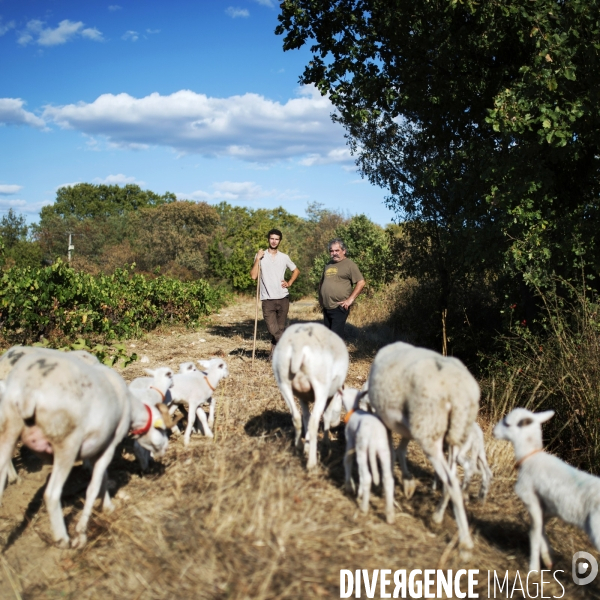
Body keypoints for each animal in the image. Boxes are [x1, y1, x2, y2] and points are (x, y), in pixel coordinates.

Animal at [0, 346, 170, 548]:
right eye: (162, 431)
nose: (163, 452)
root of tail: (29, 389)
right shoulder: (109, 446)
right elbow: (93, 487)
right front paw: (82, 531)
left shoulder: (100, 445)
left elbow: (103, 478)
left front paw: (108, 506)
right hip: (67, 443)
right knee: (51, 494)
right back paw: (63, 539)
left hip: (8, 429)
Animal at [270, 322, 346, 472]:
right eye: (342, 404)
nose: (336, 425)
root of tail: (298, 345)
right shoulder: (330, 396)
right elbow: (326, 415)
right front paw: (326, 442)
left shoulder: (302, 397)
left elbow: (305, 416)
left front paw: (306, 446)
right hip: (321, 385)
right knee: (313, 423)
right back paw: (311, 463)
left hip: (283, 381)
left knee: (296, 417)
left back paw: (299, 446)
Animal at [340, 386, 396, 524]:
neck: (355, 410)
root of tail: (373, 436)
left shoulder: (350, 439)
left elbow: (347, 459)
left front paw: (349, 486)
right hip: (384, 450)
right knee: (388, 479)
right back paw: (390, 515)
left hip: (362, 448)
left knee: (367, 477)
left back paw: (363, 508)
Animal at [366, 340, 478, 552]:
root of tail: (458, 393)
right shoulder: (405, 425)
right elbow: (400, 450)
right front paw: (408, 483)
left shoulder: (389, 421)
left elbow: (392, 453)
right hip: (454, 433)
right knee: (451, 477)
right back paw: (438, 516)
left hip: (429, 431)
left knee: (452, 481)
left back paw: (466, 540)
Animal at [494, 408, 600, 572]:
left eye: (507, 423)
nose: (494, 431)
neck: (530, 457)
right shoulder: (549, 507)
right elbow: (540, 529)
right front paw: (548, 558)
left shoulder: (530, 497)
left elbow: (535, 532)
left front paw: (534, 568)